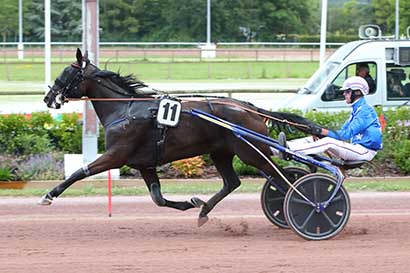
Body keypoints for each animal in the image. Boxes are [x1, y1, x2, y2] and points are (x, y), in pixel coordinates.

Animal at [39, 49, 314, 225]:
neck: (125, 109)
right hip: (221, 152)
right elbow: (158, 198)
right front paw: (191, 203)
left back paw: (306, 206)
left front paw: (48, 196)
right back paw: (204, 211)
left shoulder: (116, 155)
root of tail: (251, 108)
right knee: (234, 182)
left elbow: (80, 171)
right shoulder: (145, 164)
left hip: (251, 152)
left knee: (283, 179)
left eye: (66, 74)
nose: (48, 98)